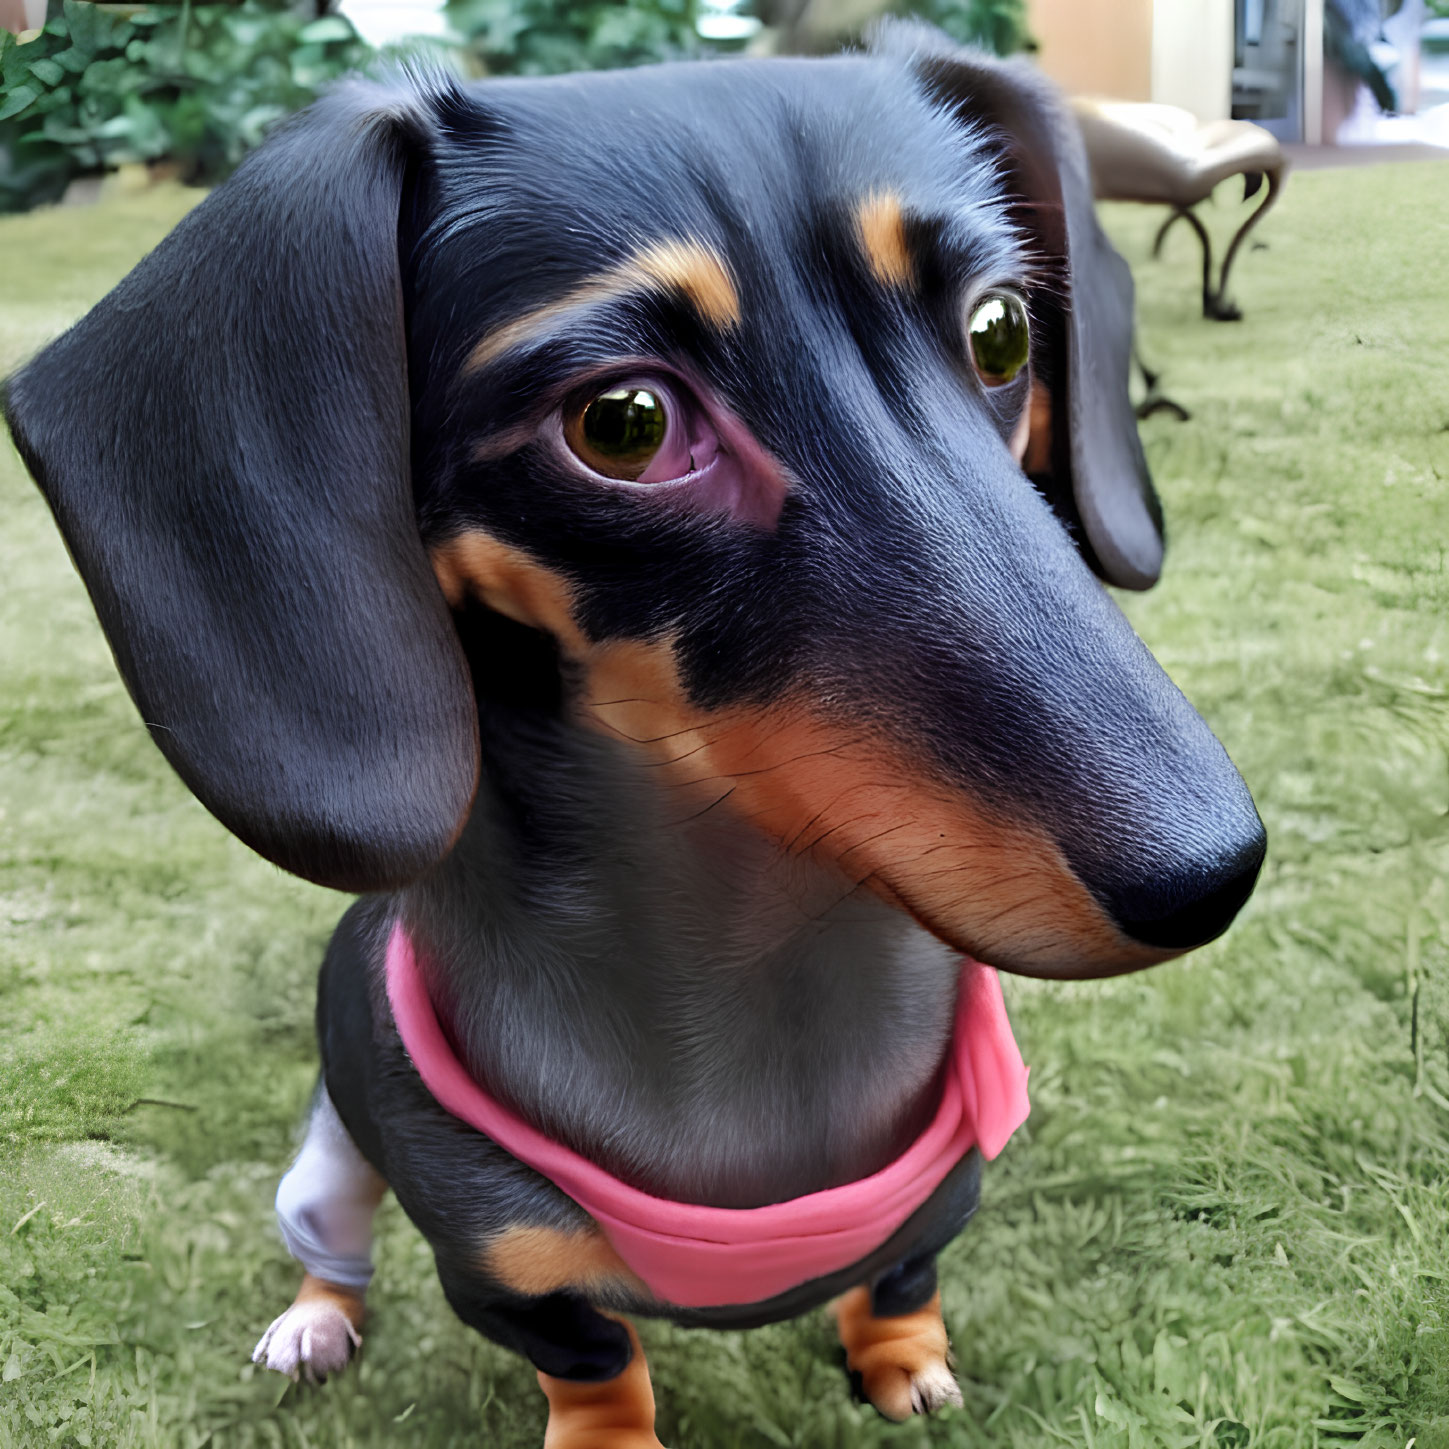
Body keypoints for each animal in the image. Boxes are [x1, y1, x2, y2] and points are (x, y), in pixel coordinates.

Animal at [5, 22, 1263, 1449]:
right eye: (624, 423)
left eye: (1001, 330)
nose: (1212, 876)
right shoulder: (503, 1273)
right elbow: (599, 1363)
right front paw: (608, 1432)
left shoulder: (939, 1207)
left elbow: (900, 1283)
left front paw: (907, 1365)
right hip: (329, 1151)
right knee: (333, 1236)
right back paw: (315, 1319)